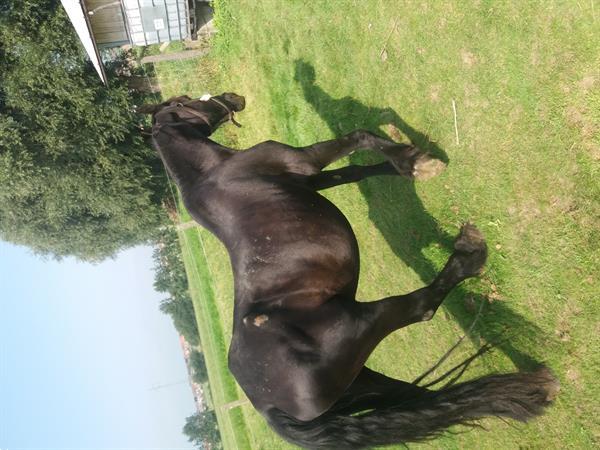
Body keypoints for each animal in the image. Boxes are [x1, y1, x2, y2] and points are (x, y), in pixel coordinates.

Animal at [139, 93, 556, 448]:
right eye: (185, 100)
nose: (232, 98)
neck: (211, 172)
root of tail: (270, 407)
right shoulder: (304, 162)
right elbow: (360, 136)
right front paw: (416, 161)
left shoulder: (315, 178)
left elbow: (355, 169)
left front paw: (409, 162)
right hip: (363, 322)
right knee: (422, 307)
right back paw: (470, 252)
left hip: (363, 381)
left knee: (422, 398)